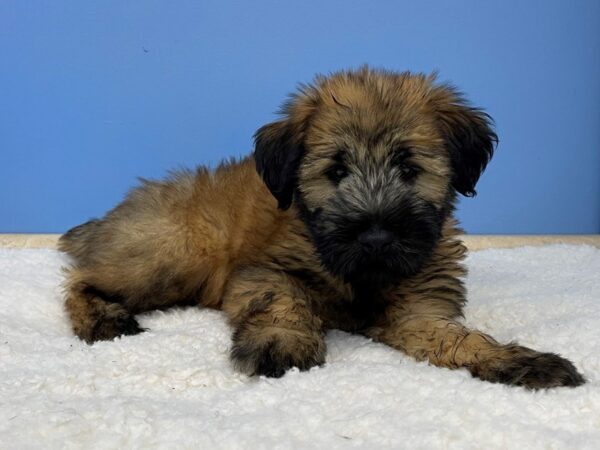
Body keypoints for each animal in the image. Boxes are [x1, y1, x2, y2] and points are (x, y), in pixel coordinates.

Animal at [58, 68, 584, 388]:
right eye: (335, 171)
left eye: (409, 168)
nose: (375, 236)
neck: (361, 275)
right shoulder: (265, 272)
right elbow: (283, 302)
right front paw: (282, 343)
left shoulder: (419, 309)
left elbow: (458, 340)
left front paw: (520, 362)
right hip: (175, 254)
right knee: (79, 280)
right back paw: (102, 321)